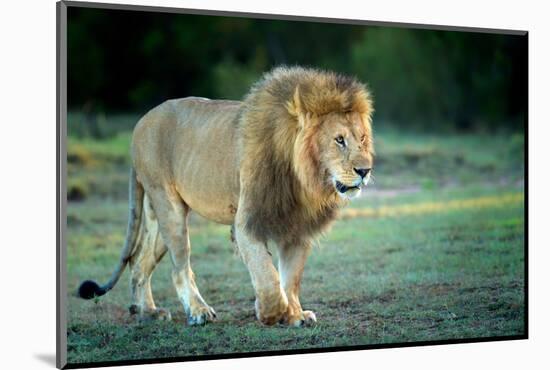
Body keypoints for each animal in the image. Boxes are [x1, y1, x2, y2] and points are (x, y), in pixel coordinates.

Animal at [77, 66, 378, 326]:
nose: (365, 170)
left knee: (139, 262)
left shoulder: (298, 228)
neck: (303, 180)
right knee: (179, 266)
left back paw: (147, 312)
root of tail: (140, 123)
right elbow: (267, 274)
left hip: (155, 214)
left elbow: (290, 278)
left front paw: (295, 315)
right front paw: (272, 313)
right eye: (339, 140)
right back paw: (198, 312)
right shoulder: (246, 223)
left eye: (362, 139)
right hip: (168, 205)